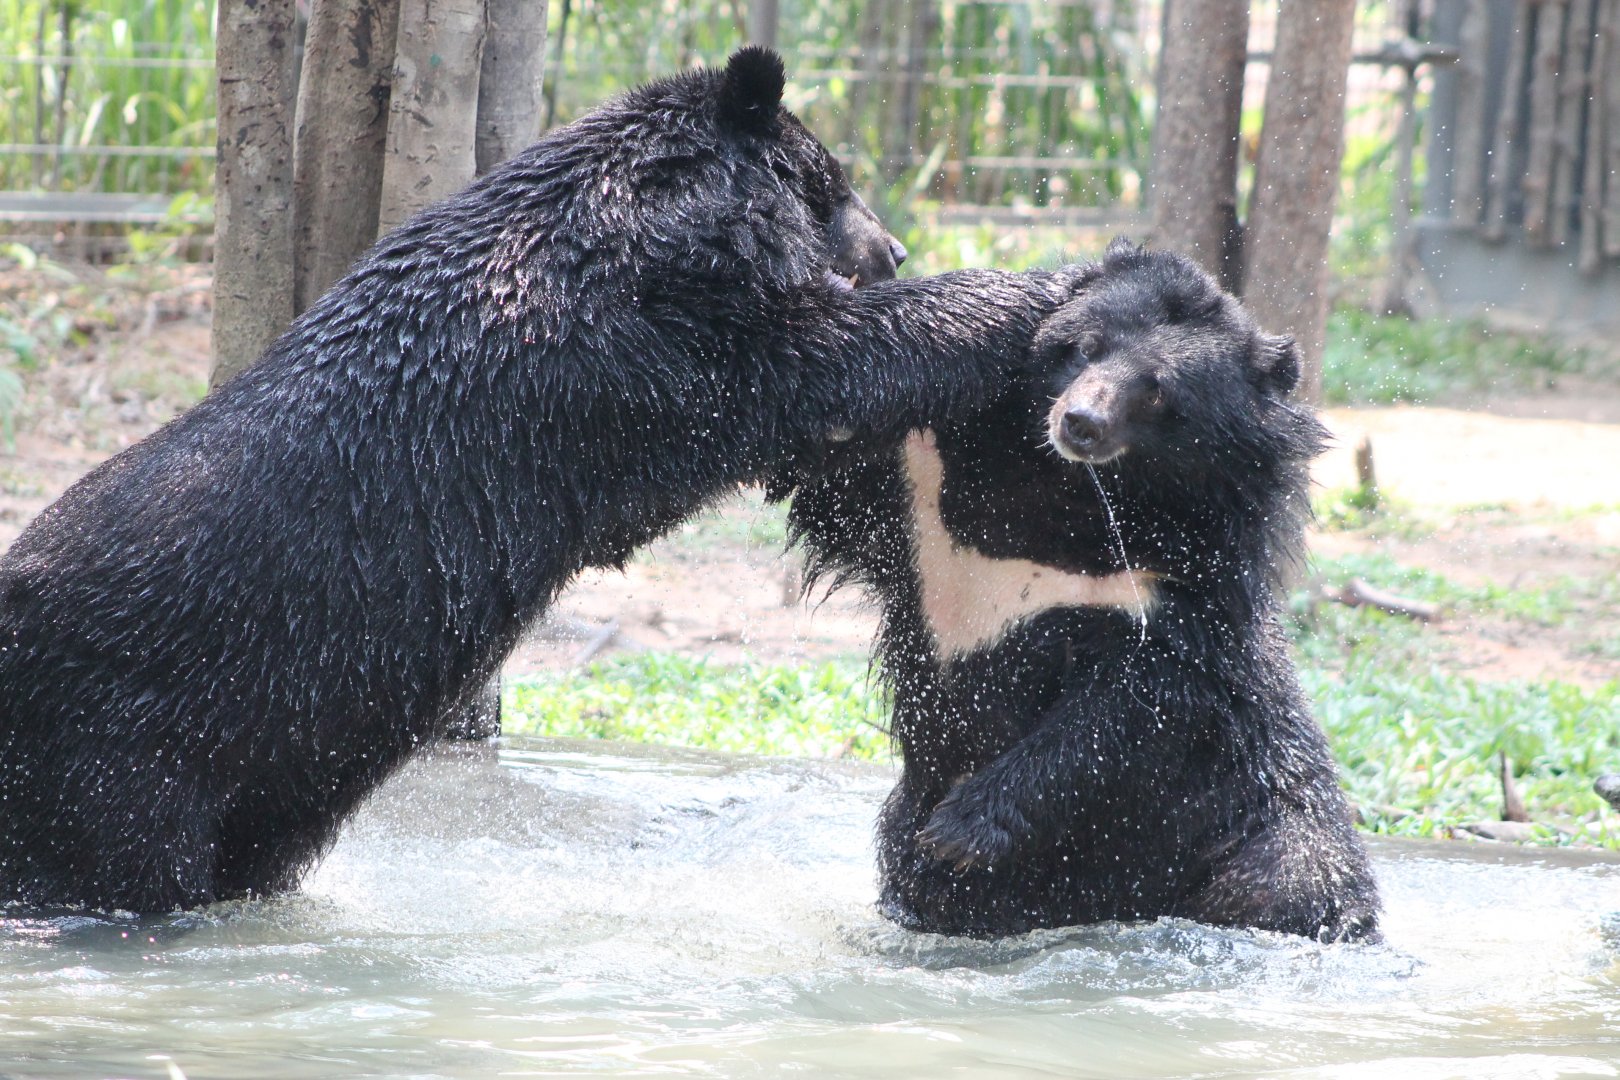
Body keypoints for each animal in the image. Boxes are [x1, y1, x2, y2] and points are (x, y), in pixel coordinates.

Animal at [0, 47, 1087, 913]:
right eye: (832, 184)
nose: (894, 244)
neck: (636, 224)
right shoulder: (645, 350)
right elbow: (819, 361)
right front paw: (1043, 287)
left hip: (256, 785)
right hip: (126, 758)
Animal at [787, 240, 1381, 942]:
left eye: (1157, 391)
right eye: (1085, 348)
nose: (1080, 422)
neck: (1070, 491)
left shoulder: (1179, 587)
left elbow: (1128, 711)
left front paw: (960, 830)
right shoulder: (921, 494)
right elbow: (841, 486)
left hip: (1266, 816)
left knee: (1291, 881)